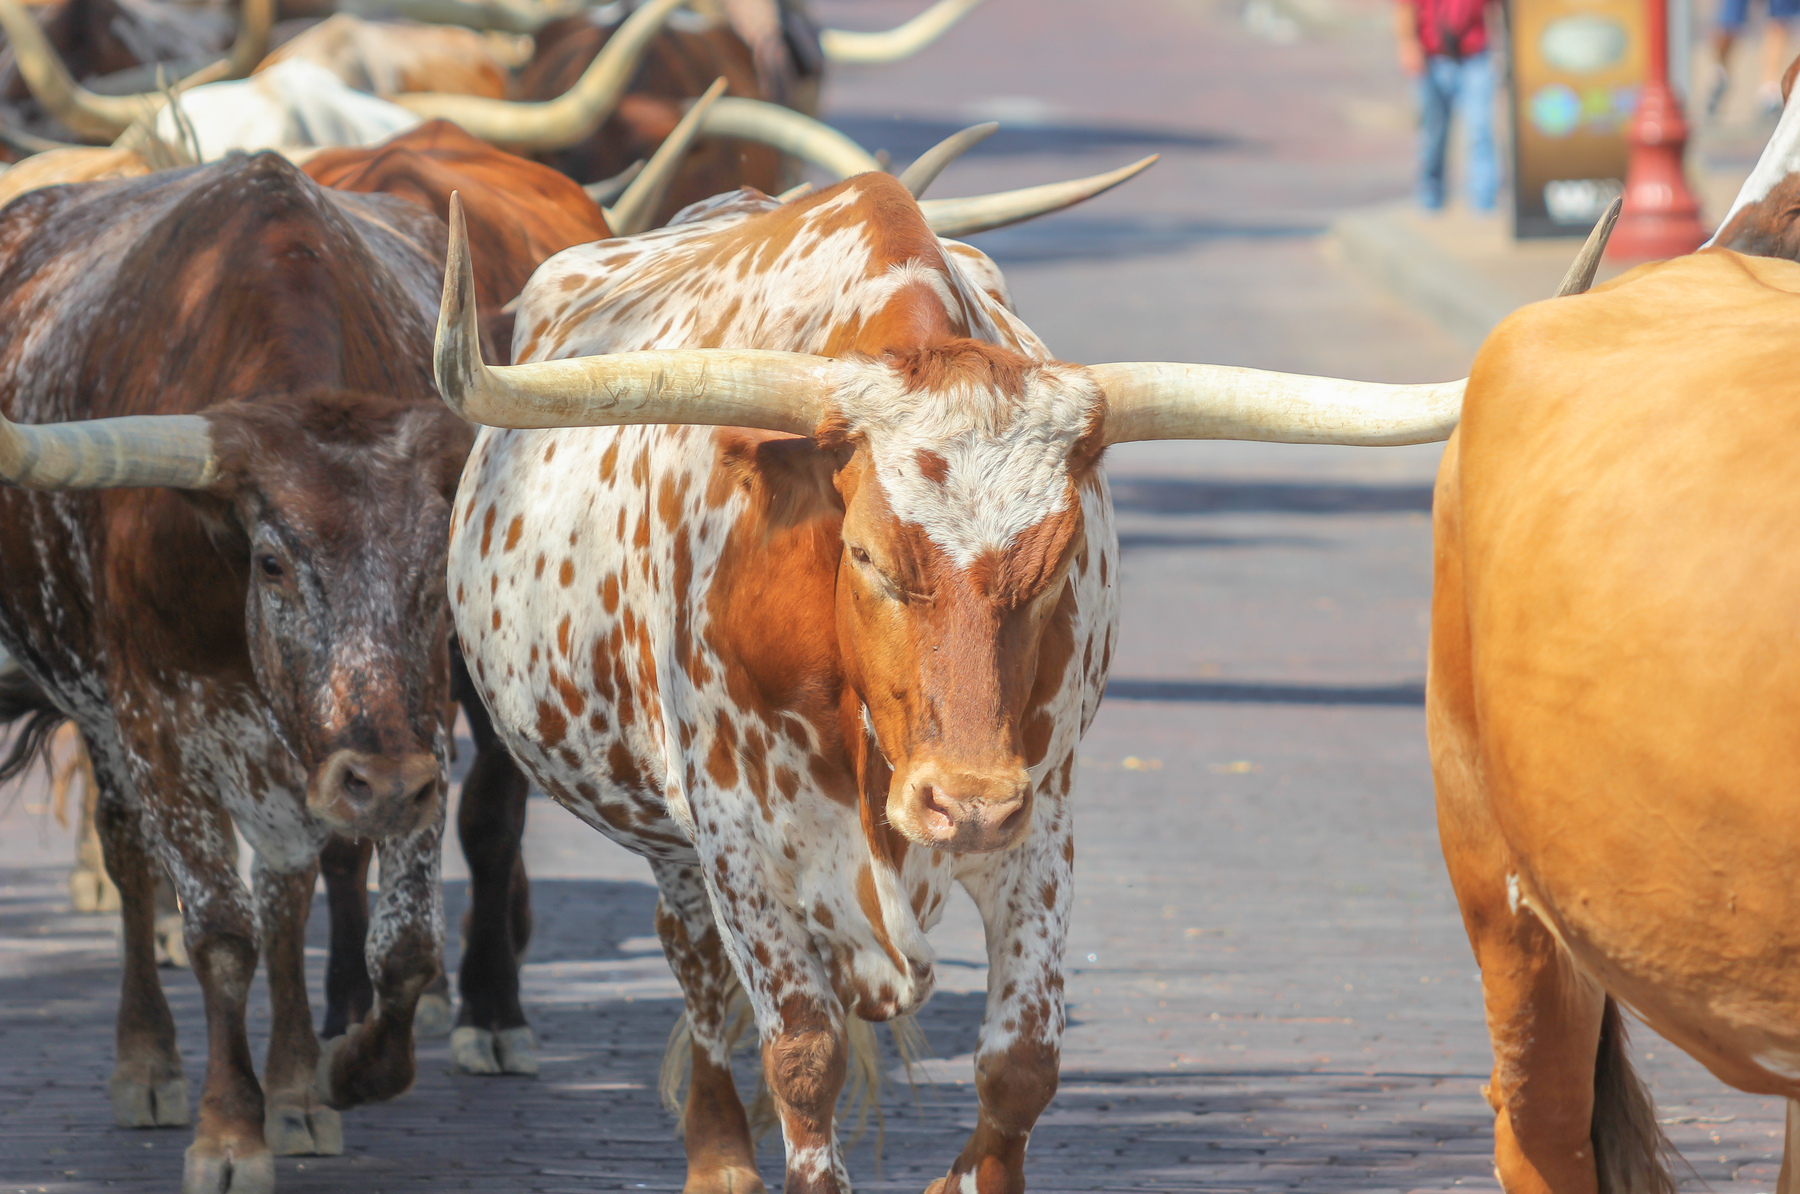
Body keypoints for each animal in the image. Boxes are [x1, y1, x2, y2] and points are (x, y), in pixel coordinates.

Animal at [0, 152, 471, 1194]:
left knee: (289, 892)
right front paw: (226, 1132)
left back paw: (293, 1088)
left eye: (438, 562)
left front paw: (340, 1072)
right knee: (131, 855)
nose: (379, 785)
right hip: (112, 720)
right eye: (272, 561)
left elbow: (404, 945)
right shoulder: (155, 720)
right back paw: (148, 1064)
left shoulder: (425, 724)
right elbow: (218, 933)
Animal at [432, 163, 1461, 1188]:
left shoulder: (1041, 820)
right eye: (866, 554)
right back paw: (718, 1155)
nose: (964, 801)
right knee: (696, 971)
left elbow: (1022, 1063)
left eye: (1056, 560)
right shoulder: (736, 841)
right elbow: (803, 1053)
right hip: (675, 845)